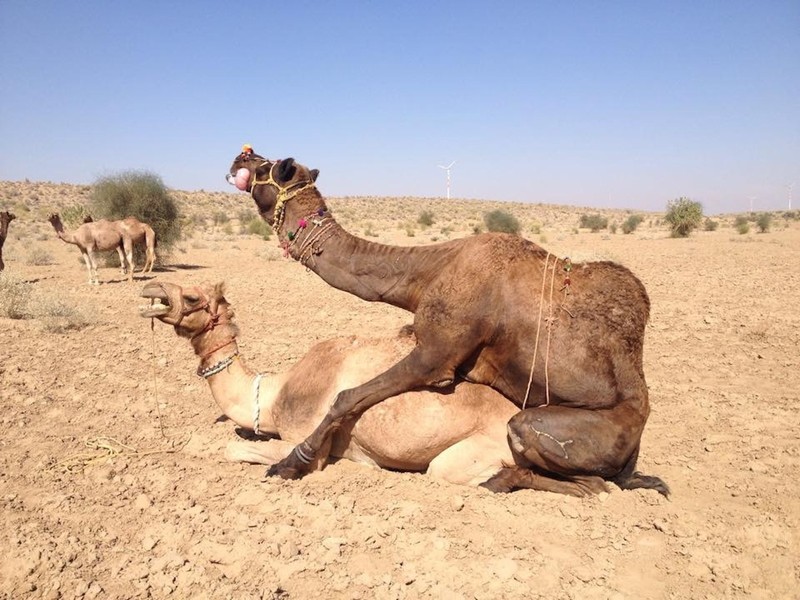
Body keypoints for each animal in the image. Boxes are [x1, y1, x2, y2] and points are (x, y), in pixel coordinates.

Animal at [139, 278, 620, 494]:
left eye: (194, 298)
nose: (151, 291)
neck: (273, 397)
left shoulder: (304, 441)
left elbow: (235, 449)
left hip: (479, 451)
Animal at [225, 146, 668, 496]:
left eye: (270, 165)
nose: (241, 156)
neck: (426, 273)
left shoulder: (438, 353)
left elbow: (345, 397)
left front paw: (291, 462)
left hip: (558, 428)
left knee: (583, 474)